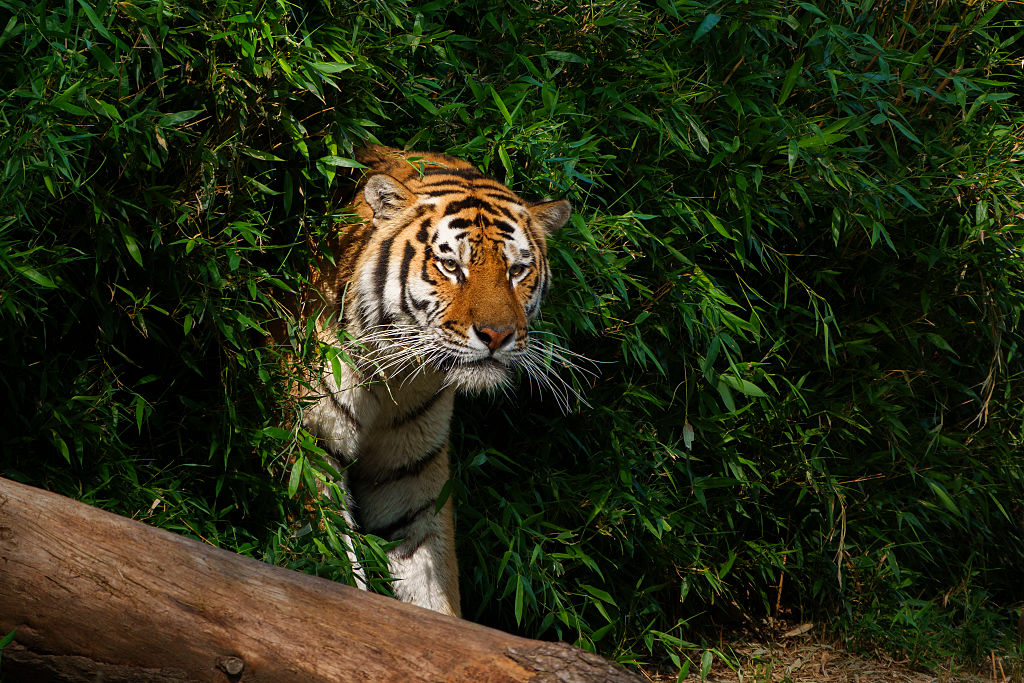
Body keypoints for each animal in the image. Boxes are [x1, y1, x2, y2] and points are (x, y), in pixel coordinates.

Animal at [299, 145, 573, 617]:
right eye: (450, 266)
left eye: (517, 271)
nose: (497, 335)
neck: (393, 377)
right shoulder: (309, 446)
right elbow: (334, 561)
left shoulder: (412, 481)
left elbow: (432, 588)